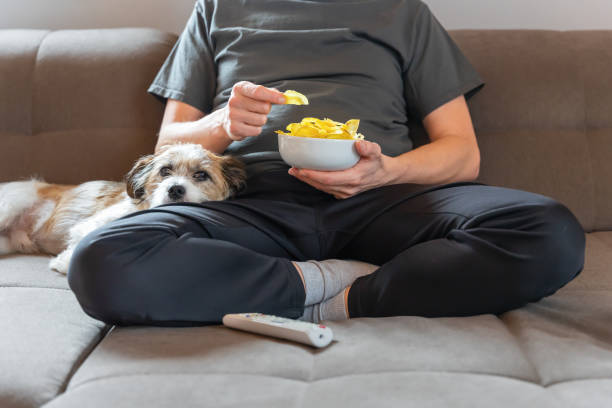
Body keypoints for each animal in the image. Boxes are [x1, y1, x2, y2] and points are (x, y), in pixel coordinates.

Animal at [0, 143, 246, 274]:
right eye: (165, 171)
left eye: (201, 175)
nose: (175, 189)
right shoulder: (89, 225)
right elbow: (82, 241)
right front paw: (63, 262)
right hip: (10, 206)